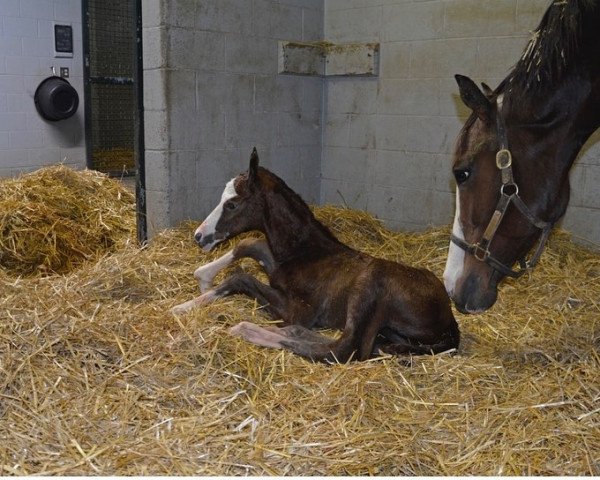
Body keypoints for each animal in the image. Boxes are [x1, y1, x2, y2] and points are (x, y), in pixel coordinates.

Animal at [172, 148, 460, 362]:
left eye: (232, 204)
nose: (199, 236)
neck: (305, 251)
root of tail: (449, 319)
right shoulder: (274, 265)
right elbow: (249, 243)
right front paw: (198, 286)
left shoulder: (298, 309)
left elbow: (241, 278)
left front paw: (186, 303)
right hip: (389, 334)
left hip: (368, 286)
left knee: (343, 349)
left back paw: (248, 329)